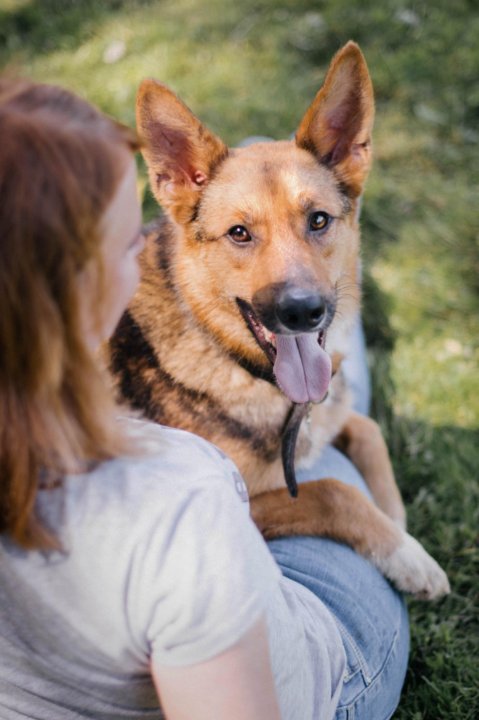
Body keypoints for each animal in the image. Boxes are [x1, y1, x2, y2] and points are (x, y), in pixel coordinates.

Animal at [109, 40, 450, 600]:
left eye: (319, 220)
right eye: (239, 233)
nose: (302, 312)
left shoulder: (330, 411)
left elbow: (367, 429)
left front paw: (396, 518)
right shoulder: (241, 509)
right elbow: (333, 490)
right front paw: (407, 554)